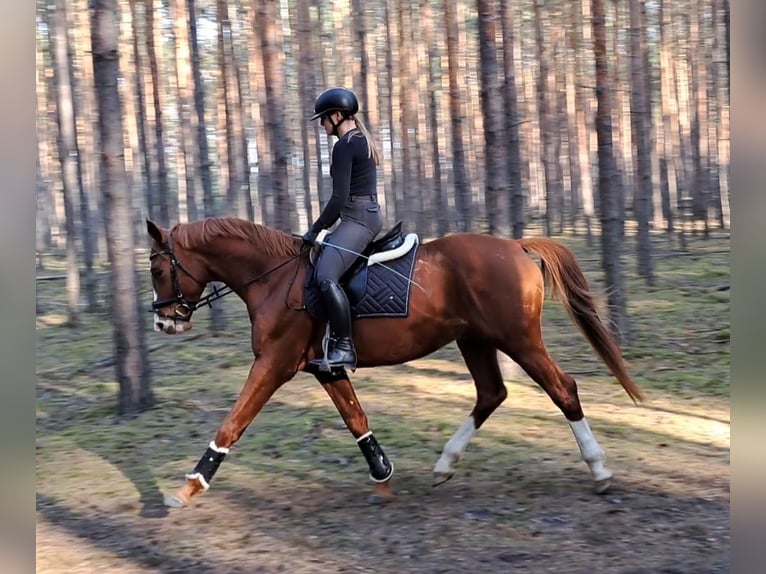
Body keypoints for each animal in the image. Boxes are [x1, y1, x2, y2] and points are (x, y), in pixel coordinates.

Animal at [148, 217, 640, 508]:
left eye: (156, 269)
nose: (163, 321)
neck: (274, 276)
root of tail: (517, 247)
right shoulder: (326, 367)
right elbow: (356, 418)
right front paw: (383, 475)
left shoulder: (273, 362)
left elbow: (232, 422)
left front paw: (189, 485)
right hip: (476, 341)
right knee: (491, 393)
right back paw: (444, 465)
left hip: (517, 339)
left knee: (563, 389)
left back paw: (600, 470)